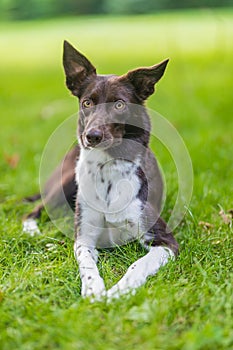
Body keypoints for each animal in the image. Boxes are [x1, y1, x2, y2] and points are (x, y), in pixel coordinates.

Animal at [23, 40, 178, 298]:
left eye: (119, 104)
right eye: (87, 102)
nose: (92, 136)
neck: (108, 171)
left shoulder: (165, 241)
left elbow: (138, 265)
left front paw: (118, 291)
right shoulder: (84, 238)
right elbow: (87, 263)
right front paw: (93, 289)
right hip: (66, 183)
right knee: (33, 210)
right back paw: (32, 231)